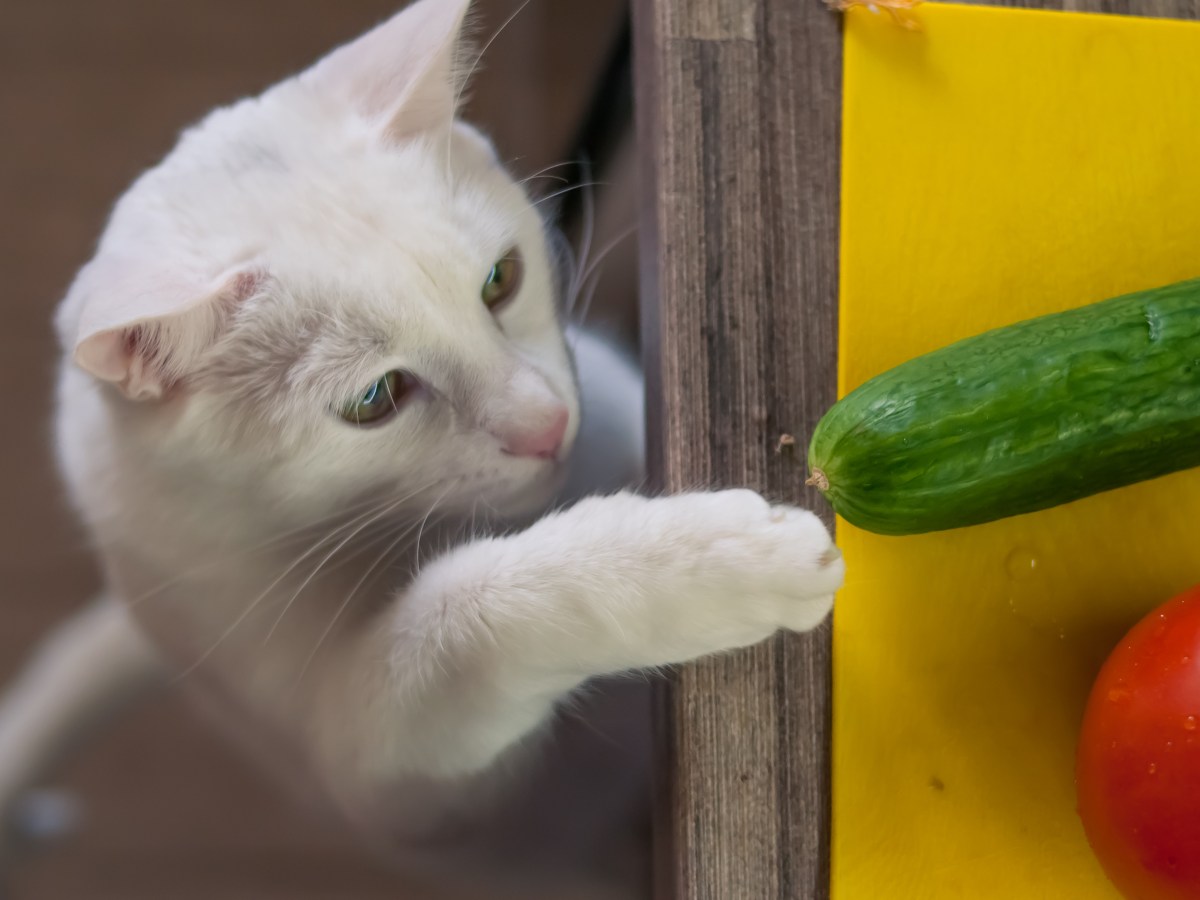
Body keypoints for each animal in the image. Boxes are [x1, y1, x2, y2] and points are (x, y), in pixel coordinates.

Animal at [0, 3, 844, 897]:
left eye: (501, 281)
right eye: (374, 399)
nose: (547, 424)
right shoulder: (386, 774)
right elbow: (456, 615)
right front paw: (721, 559)